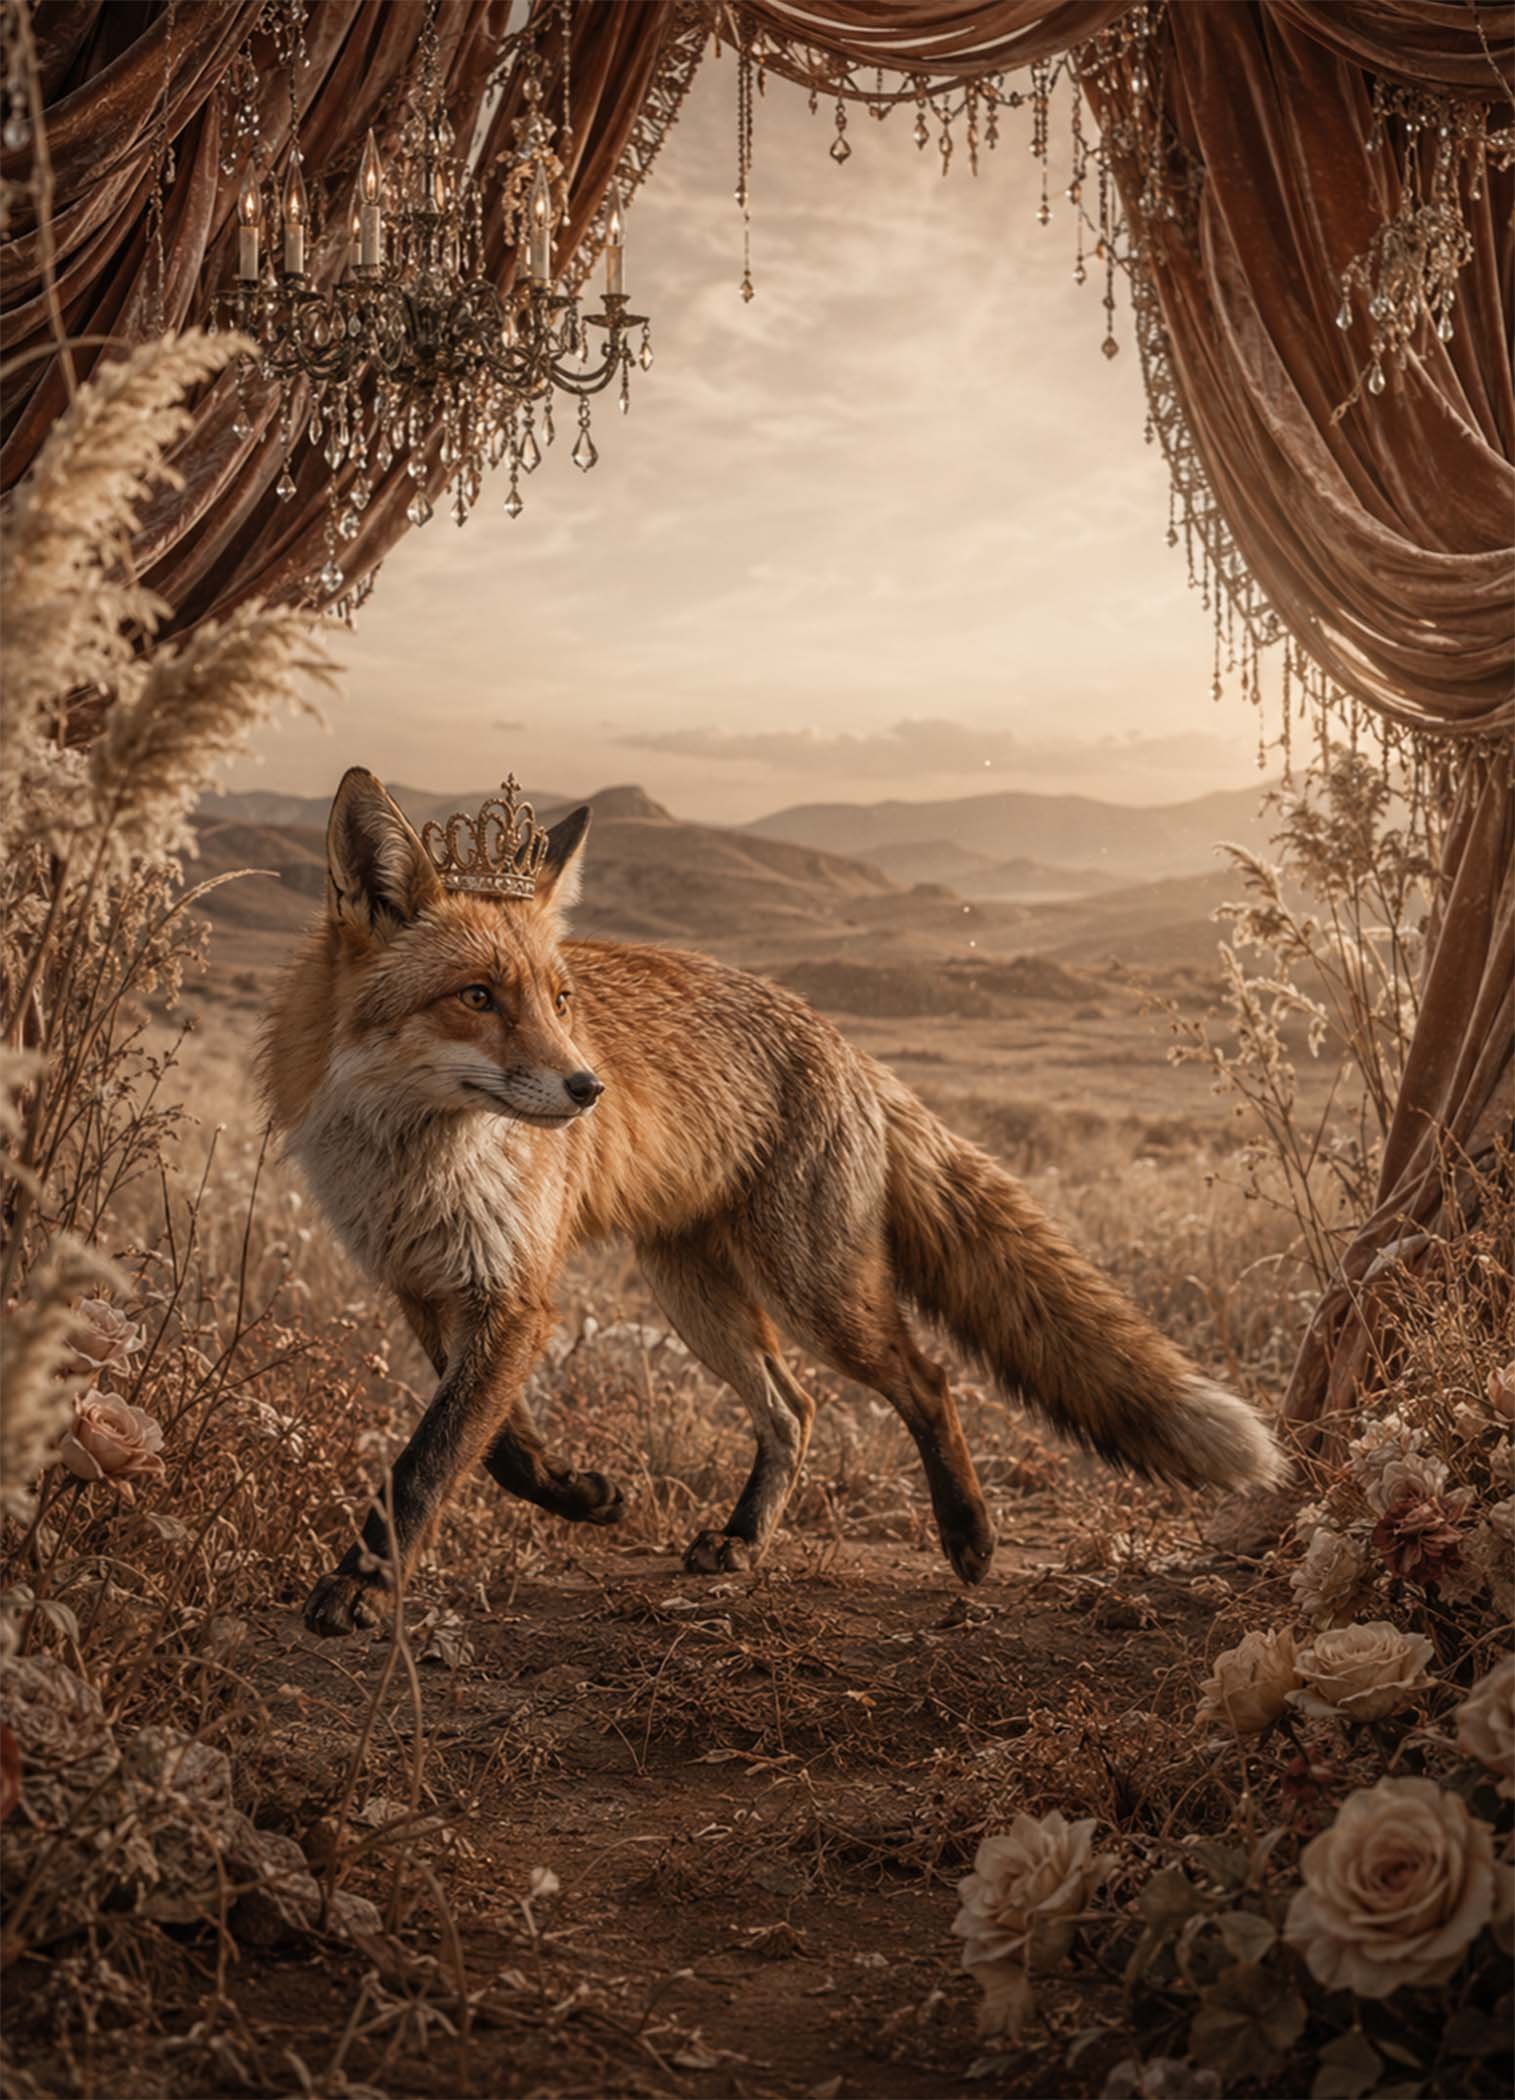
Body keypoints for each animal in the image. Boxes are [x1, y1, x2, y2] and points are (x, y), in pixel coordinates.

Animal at [261, 767, 1285, 1637]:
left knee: (923, 1378)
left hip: (813, 1290)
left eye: (559, 998)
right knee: (793, 1408)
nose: (589, 1089)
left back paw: (967, 1535)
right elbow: (498, 1448)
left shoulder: (514, 1296)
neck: (412, 1160)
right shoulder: (427, 1288)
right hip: (694, 1293)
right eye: (476, 996)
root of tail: (847, 1046)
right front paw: (582, 1494)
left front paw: (362, 1586)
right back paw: (745, 1538)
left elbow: (427, 1460)